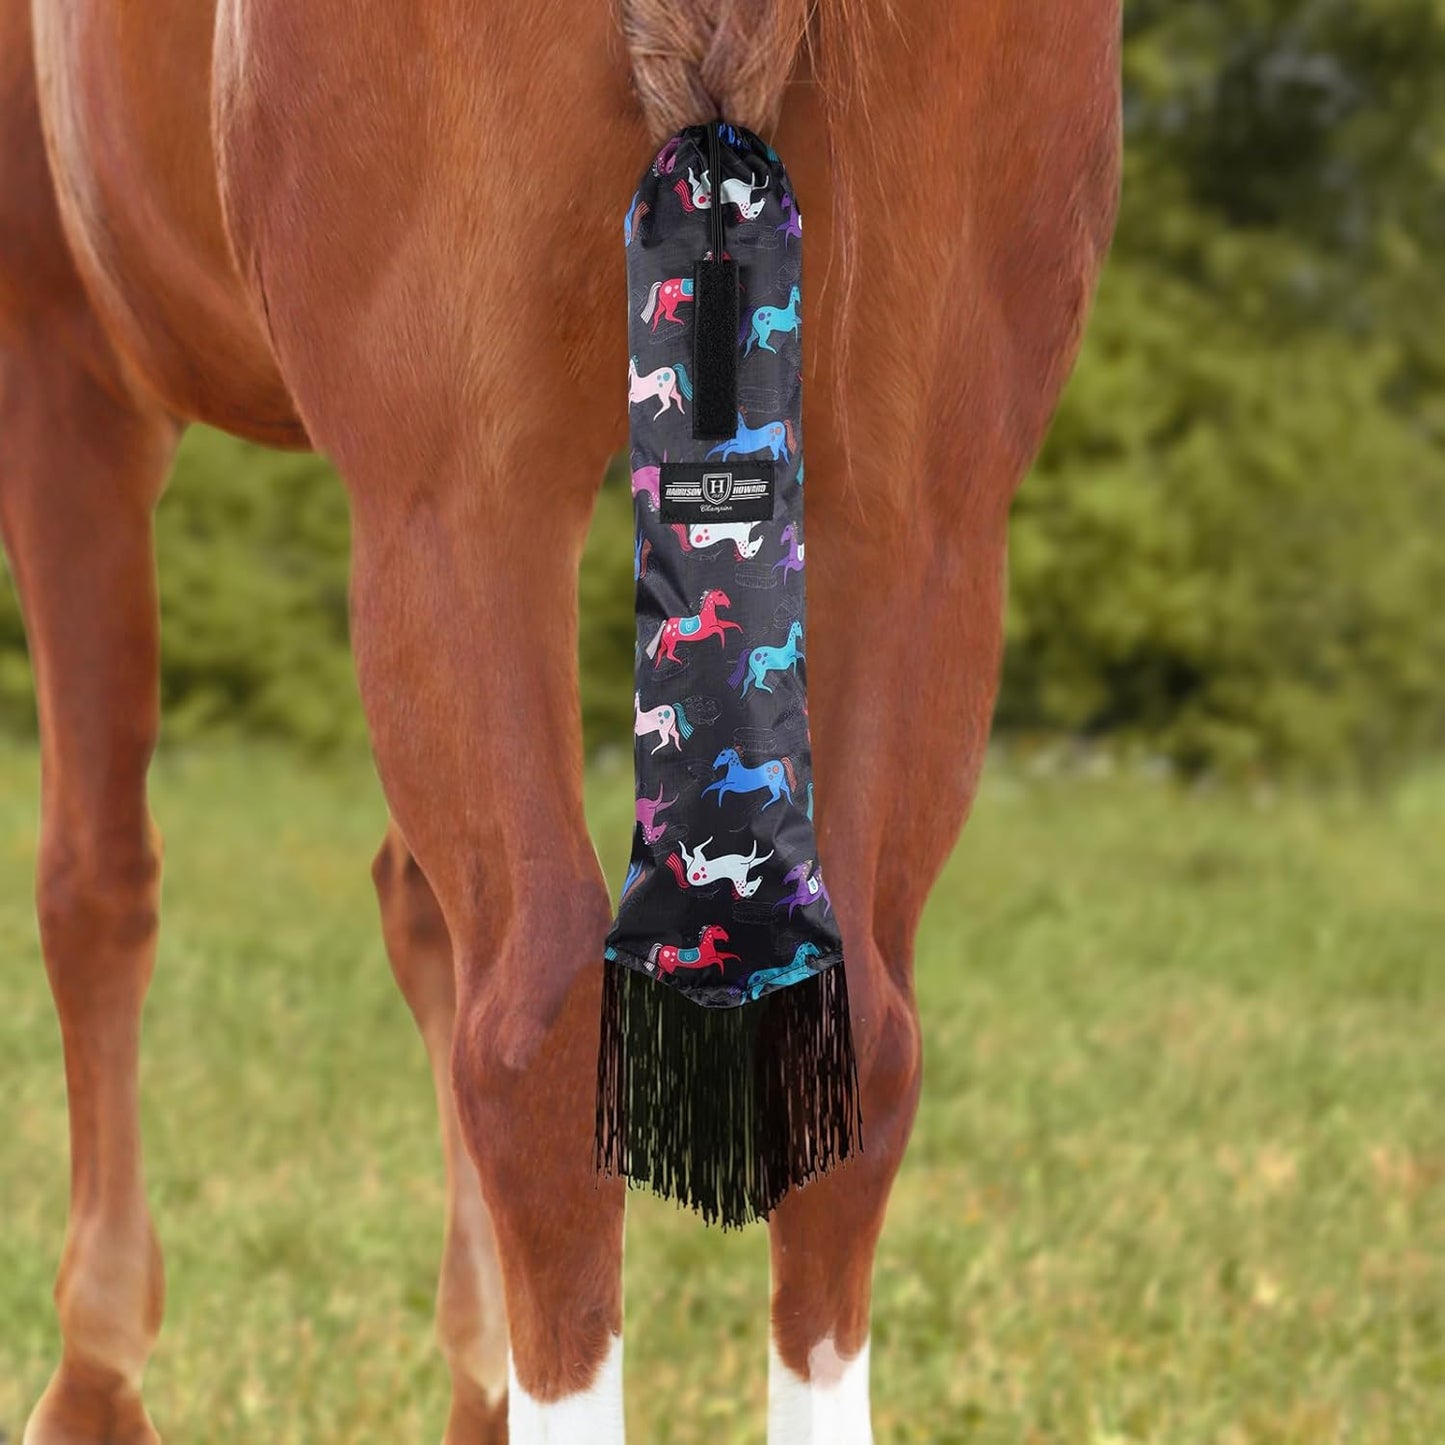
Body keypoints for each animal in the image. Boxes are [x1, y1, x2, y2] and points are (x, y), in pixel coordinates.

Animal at [0, 0, 1120, 1437]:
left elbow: (93, 886)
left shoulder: (60, 365)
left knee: (528, 1030)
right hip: (919, 518)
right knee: (856, 1038)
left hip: (453, 500)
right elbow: (415, 910)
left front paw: (94, 1374)